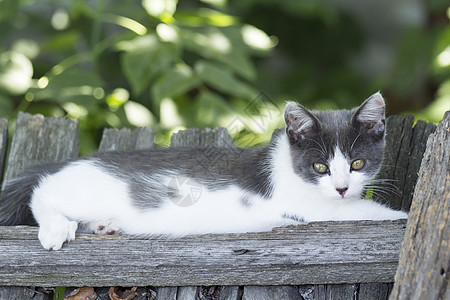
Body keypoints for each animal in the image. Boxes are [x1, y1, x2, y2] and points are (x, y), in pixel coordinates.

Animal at [0, 91, 408, 248]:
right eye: (320, 166)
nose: (341, 187)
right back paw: (56, 227)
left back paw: (105, 225)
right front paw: (401, 216)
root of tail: (71, 162)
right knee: (41, 193)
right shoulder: (307, 206)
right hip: (75, 190)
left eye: (357, 163)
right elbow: (363, 212)